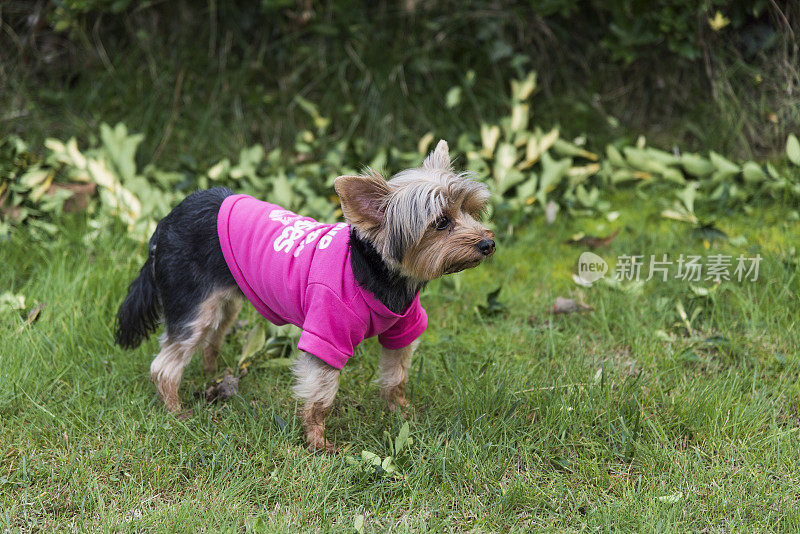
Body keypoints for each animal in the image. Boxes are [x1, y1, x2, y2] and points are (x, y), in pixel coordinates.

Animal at [114, 141, 494, 452]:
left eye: (471, 210)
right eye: (441, 222)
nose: (488, 243)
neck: (373, 271)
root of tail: (166, 220)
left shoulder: (402, 328)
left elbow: (395, 377)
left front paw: (402, 414)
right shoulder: (325, 335)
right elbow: (319, 396)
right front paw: (319, 444)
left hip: (226, 300)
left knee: (211, 340)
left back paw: (213, 377)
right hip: (192, 304)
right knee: (165, 365)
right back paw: (176, 412)